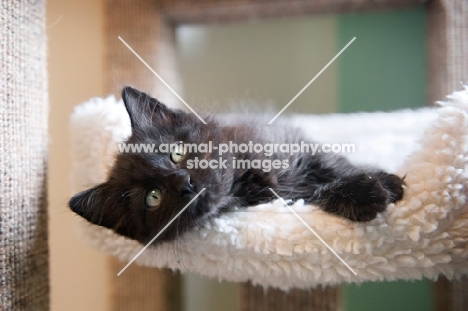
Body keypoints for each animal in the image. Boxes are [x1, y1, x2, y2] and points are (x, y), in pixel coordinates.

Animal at [67, 87, 404, 246]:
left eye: (177, 153)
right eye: (153, 197)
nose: (185, 182)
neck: (245, 178)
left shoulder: (296, 147)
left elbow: (335, 165)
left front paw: (383, 181)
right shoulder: (281, 196)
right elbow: (310, 192)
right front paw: (365, 195)